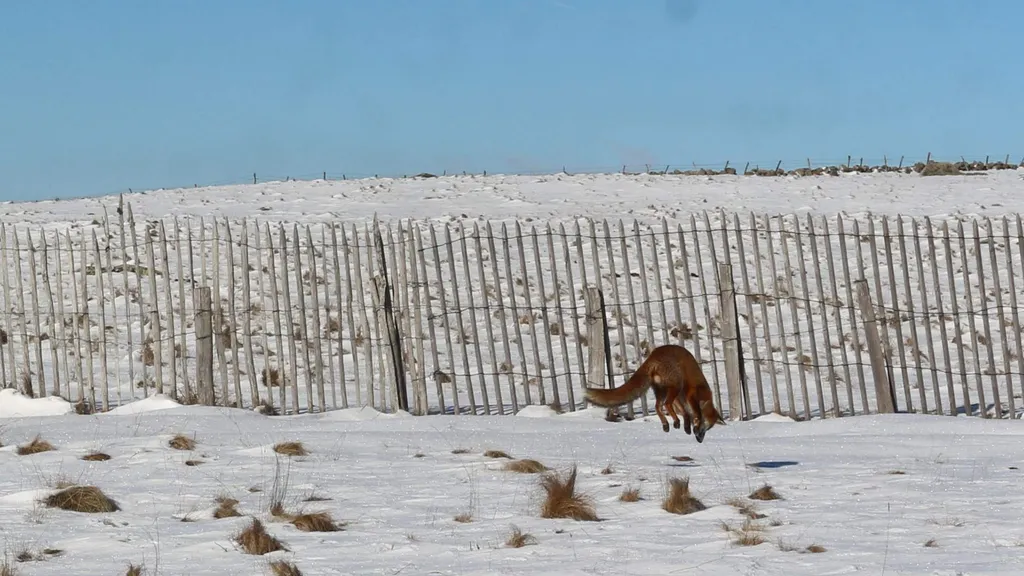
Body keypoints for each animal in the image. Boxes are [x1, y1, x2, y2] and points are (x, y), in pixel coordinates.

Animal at [584, 344, 726, 443]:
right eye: (705, 426)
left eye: (708, 429)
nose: (700, 440)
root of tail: (653, 355)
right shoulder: (690, 394)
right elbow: (694, 413)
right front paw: (691, 422)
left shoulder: (680, 399)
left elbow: (685, 413)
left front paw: (686, 427)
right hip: (675, 386)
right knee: (666, 404)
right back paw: (673, 422)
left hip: (662, 391)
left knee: (658, 407)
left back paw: (667, 424)